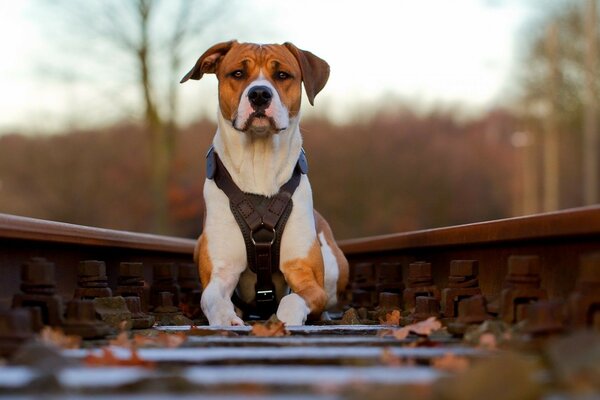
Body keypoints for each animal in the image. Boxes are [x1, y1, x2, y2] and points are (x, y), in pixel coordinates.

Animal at [180, 40, 350, 324]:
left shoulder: (305, 273)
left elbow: (293, 299)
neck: (259, 162)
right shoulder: (222, 270)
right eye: (238, 73)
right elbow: (211, 298)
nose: (259, 94)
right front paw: (227, 318)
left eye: (282, 75)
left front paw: (283, 321)